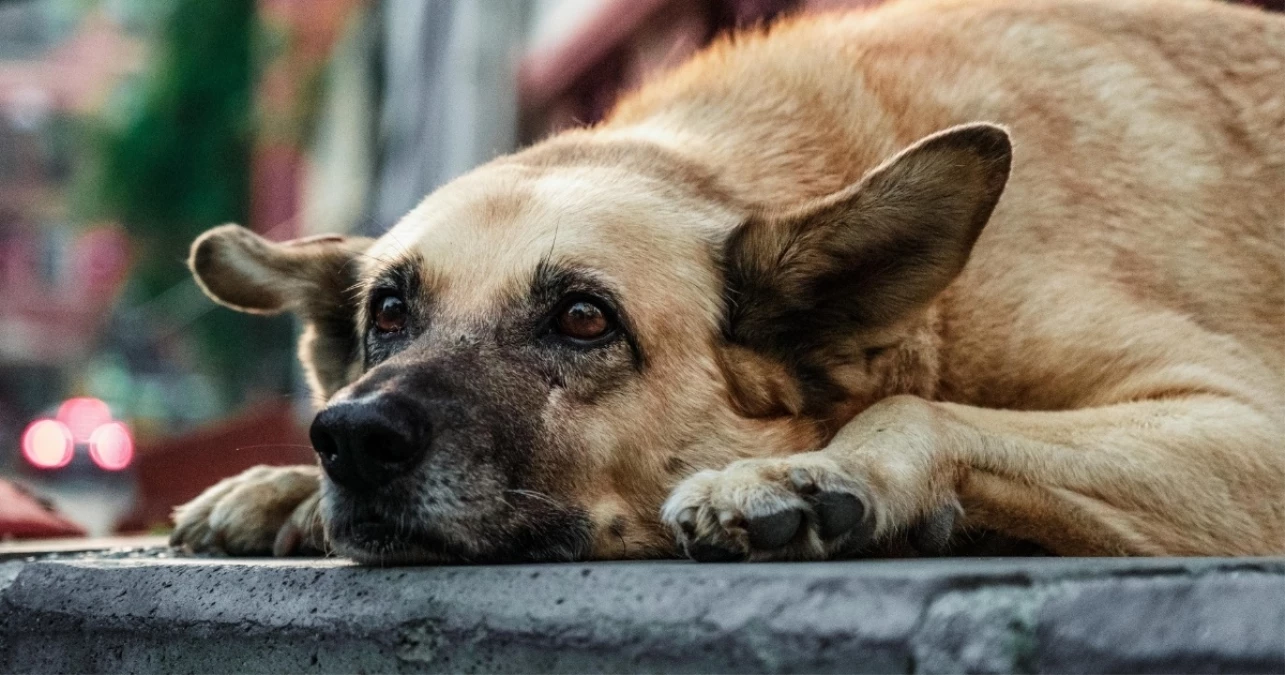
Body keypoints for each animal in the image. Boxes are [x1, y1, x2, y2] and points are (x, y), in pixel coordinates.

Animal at [168, 0, 1285, 560]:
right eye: (390, 312)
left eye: (584, 319)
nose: (351, 438)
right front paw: (281, 489)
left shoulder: (1247, 426)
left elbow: (916, 408)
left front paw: (811, 472)